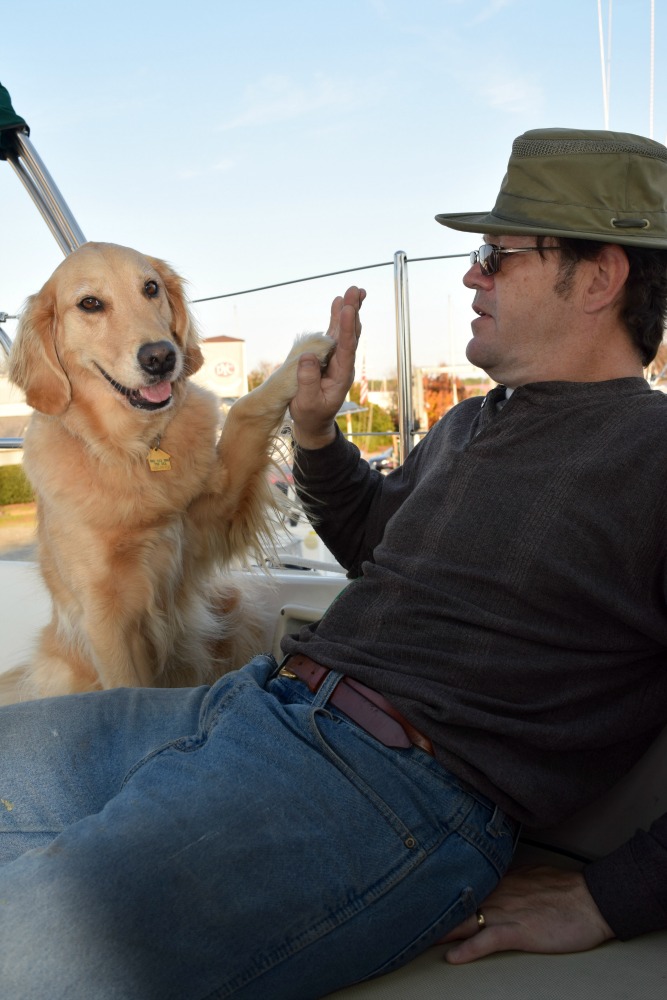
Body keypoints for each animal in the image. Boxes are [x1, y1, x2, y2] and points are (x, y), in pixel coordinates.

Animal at [9, 242, 332, 696]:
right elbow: (127, 690)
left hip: (233, 610)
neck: (132, 450)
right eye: (89, 303)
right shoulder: (106, 619)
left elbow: (245, 409)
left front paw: (303, 357)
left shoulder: (211, 516)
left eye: (151, 288)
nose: (161, 356)